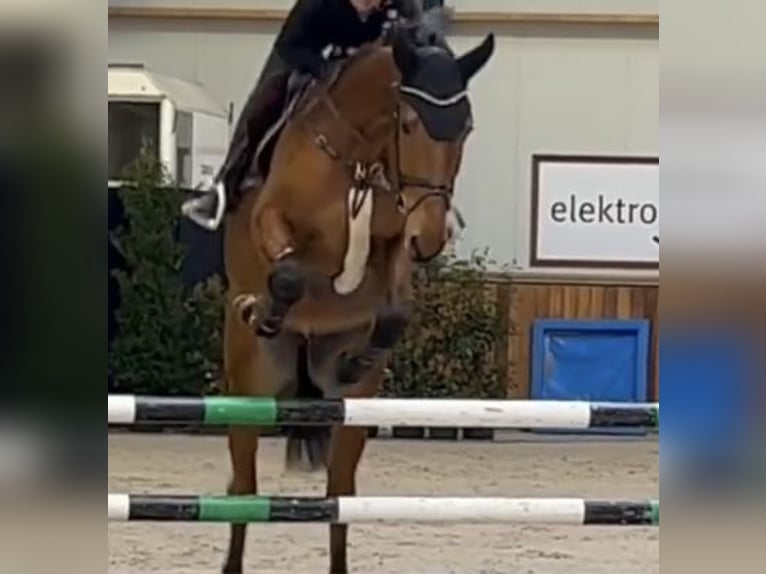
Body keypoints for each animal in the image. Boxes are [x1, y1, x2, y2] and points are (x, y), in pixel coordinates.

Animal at [222, 27, 498, 574]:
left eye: (466, 128)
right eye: (409, 124)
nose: (431, 240)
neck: (359, 154)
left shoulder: (394, 243)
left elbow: (394, 311)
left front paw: (357, 358)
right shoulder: (271, 218)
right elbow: (288, 275)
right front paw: (262, 309)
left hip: (350, 416)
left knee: (340, 494)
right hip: (248, 390)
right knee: (243, 487)